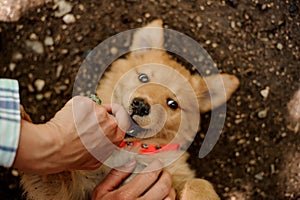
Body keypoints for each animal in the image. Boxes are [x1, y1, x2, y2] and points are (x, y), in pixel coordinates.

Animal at [21, 19, 239, 199]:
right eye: (143, 77)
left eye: (173, 104)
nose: (141, 105)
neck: (133, 147)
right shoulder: (73, 188)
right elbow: (55, 172)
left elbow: (198, 183)